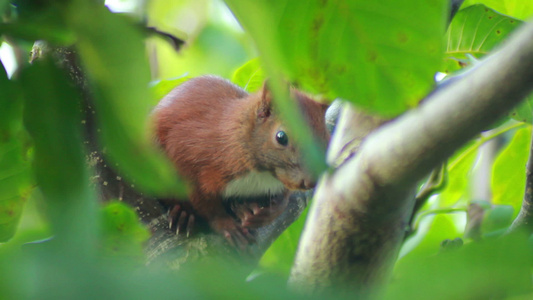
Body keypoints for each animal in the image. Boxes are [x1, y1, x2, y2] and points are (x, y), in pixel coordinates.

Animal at [152, 75, 330, 248]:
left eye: (327, 139)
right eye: (281, 137)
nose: (311, 182)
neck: (262, 174)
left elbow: (284, 199)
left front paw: (269, 213)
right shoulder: (188, 151)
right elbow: (205, 203)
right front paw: (226, 225)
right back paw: (183, 215)